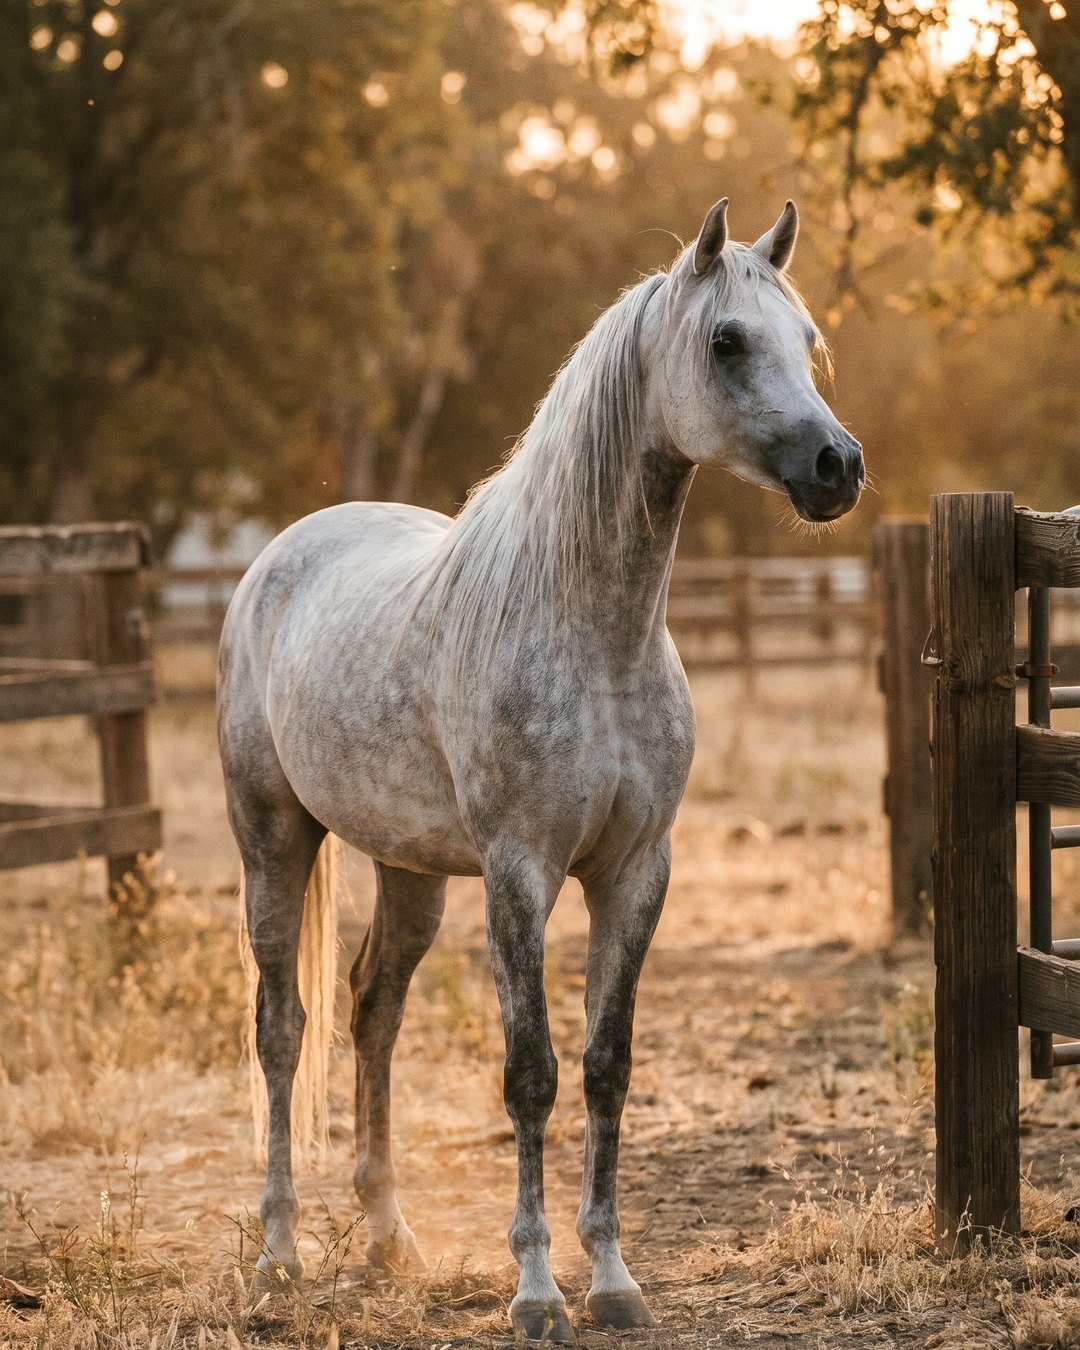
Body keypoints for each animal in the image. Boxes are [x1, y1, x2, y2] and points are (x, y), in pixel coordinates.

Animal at [217, 197, 864, 1344]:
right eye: (726, 341)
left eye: (809, 339)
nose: (839, 466)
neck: (593, 632)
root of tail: (274, 559)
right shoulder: (520, 873)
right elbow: (531, 1075)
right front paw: (536, 1290)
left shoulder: (637, 871)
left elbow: (607, 1068)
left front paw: (610, 1278)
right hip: (274, 841)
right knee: (285, 1032)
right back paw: (281, 1256)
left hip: (411, 871)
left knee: (372, 1011)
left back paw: (389, 1239)